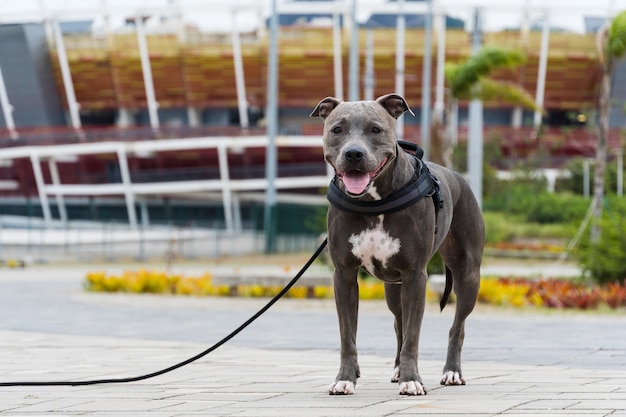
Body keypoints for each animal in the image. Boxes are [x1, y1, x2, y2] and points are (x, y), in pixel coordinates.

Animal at [310, 92, 486, 394]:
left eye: (375, 129)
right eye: (337, 129)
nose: (353, 154)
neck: (373, 202)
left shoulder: (415, 275)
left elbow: (414, 336)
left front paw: (412, 380)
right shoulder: (344, 275)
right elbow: (348, 334)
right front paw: (346, 377)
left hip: (468, 275)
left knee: (457, 326)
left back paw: (451, 372)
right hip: (393, 287)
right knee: (399, 323)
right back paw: (396, 369)